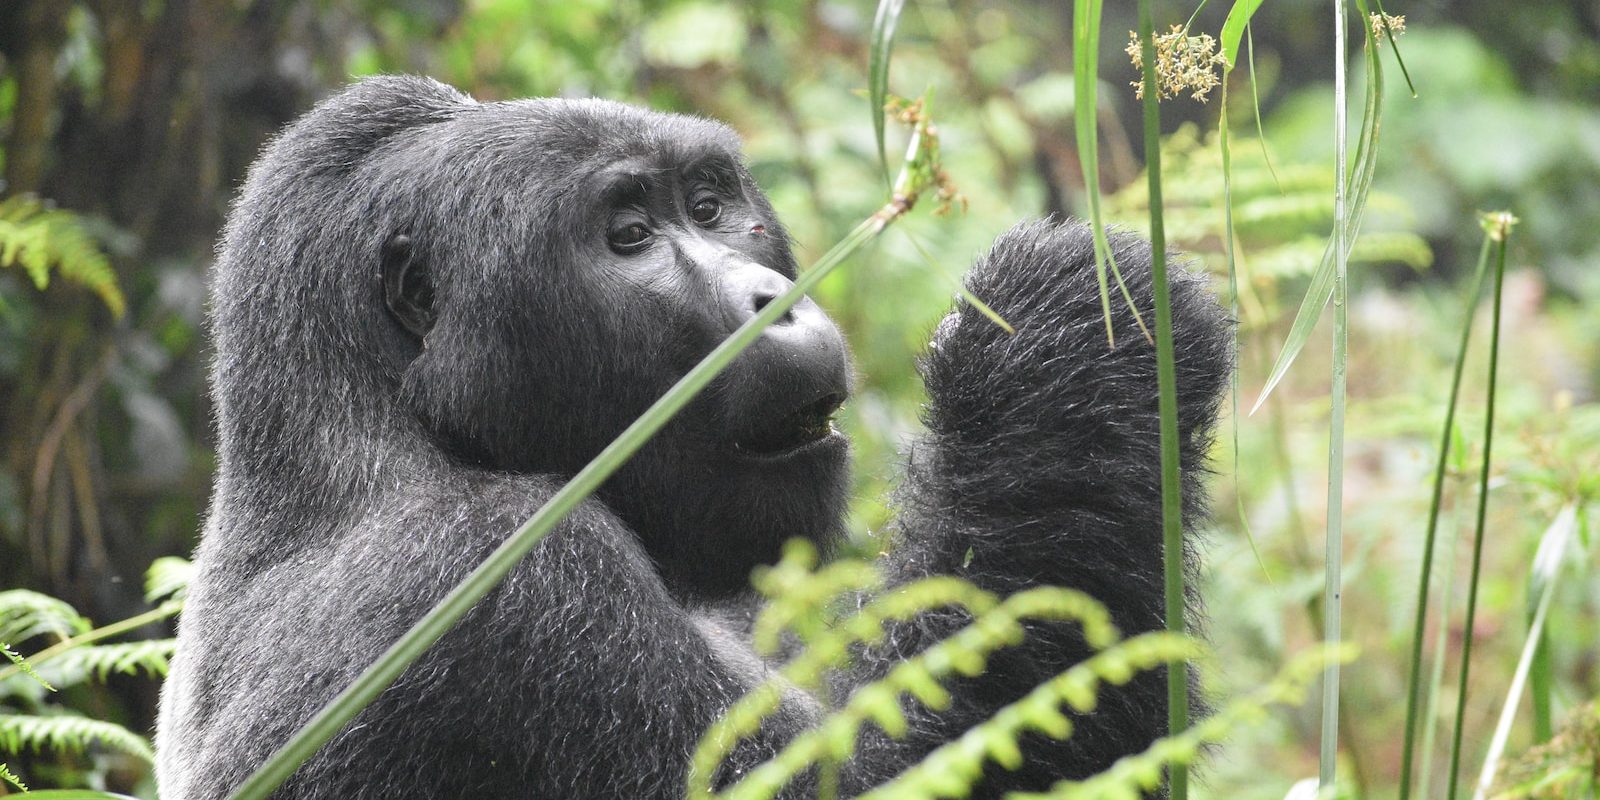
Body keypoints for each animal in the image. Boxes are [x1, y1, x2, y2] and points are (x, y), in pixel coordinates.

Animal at [156, 75, 1228, 800]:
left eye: (712, 208)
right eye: (629, 235)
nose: (775, 301)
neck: (372, 427)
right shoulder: (489, 576)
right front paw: (1073, 344)